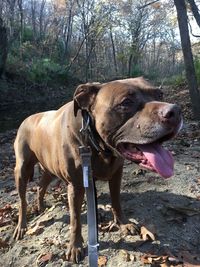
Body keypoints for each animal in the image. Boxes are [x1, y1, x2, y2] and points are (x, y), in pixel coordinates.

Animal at [12, 77, 181, 264]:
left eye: (160, 94)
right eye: (126, 102)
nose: (175, 111)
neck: (95, 143)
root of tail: (26, 119)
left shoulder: (116, 174)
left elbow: (116, 201)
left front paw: (123, 223)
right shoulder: (76, 185)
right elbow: (75, 219)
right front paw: (75, 246)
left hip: (49, 169)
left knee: (41, 186)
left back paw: (40, 206)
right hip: (22, 170)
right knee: (22, 200)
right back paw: (21, 226)